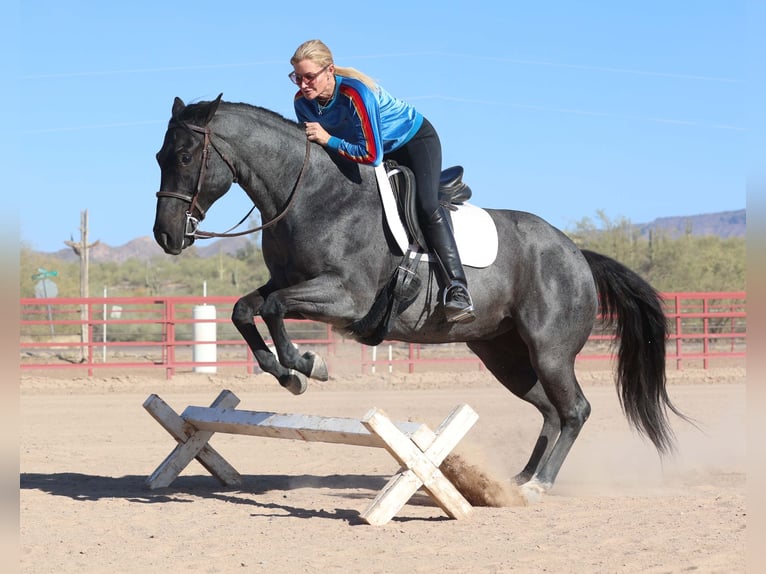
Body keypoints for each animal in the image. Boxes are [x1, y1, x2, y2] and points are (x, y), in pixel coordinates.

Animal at [153, 95, 688, 504]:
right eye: (160, 157)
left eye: (185, 158)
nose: (166, 237)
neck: (311, 195)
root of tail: (575, 252)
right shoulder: (289, 281)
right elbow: (247, 308)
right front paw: (285, 373)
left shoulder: (346, 297)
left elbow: (274, 308)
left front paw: (306, 365)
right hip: (503, 354)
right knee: (550, 410)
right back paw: (516, 479)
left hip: (550, 350)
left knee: (575, 410)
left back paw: (540, 485)